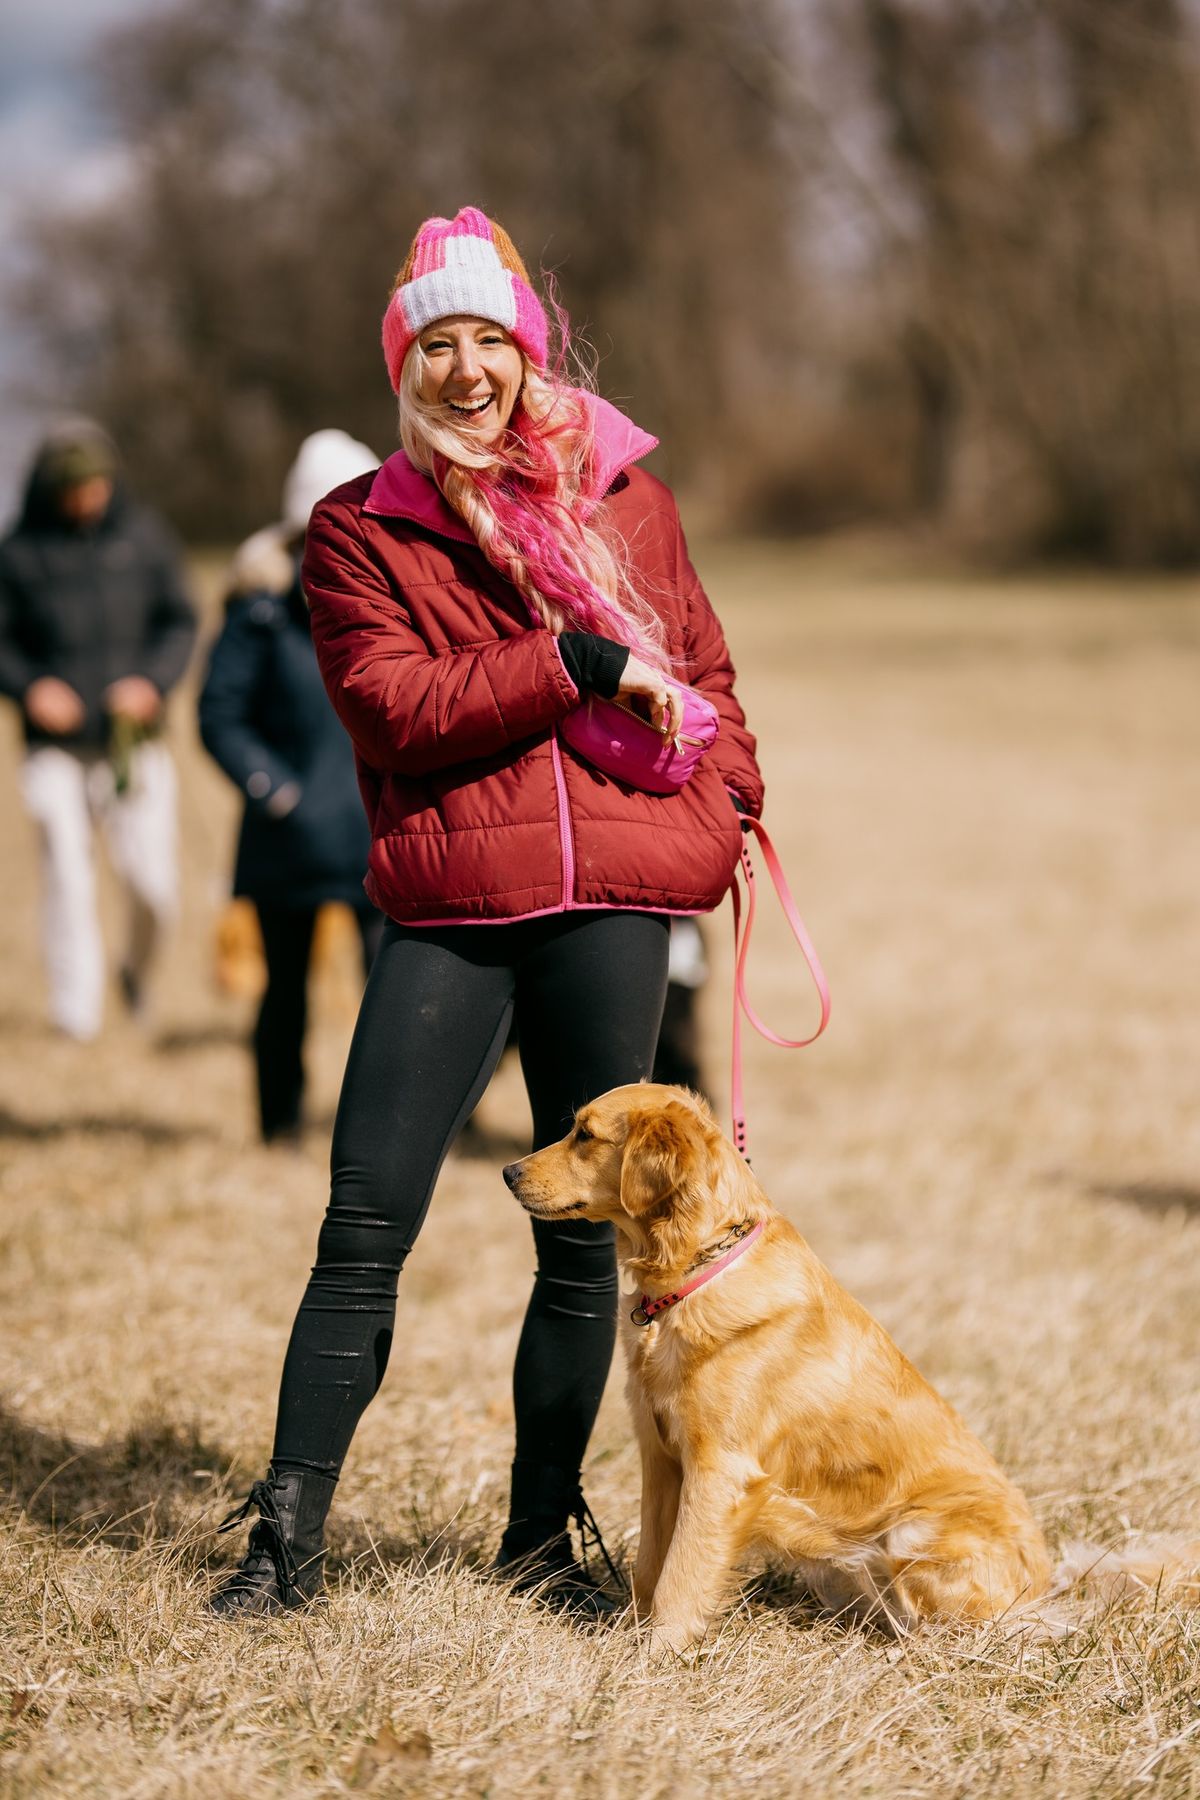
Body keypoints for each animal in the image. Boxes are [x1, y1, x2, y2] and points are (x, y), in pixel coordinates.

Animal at [503, 1072, 1050, 1648]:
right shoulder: (660, 1458)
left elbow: (680, 1574)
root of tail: (1046, 1586)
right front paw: (631, 1632)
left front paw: (658, 1652)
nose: (508, 1172)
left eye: (585, 1135)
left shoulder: (720, 1469)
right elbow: (651, 1566)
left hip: (912, 1532)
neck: (692, 1272)